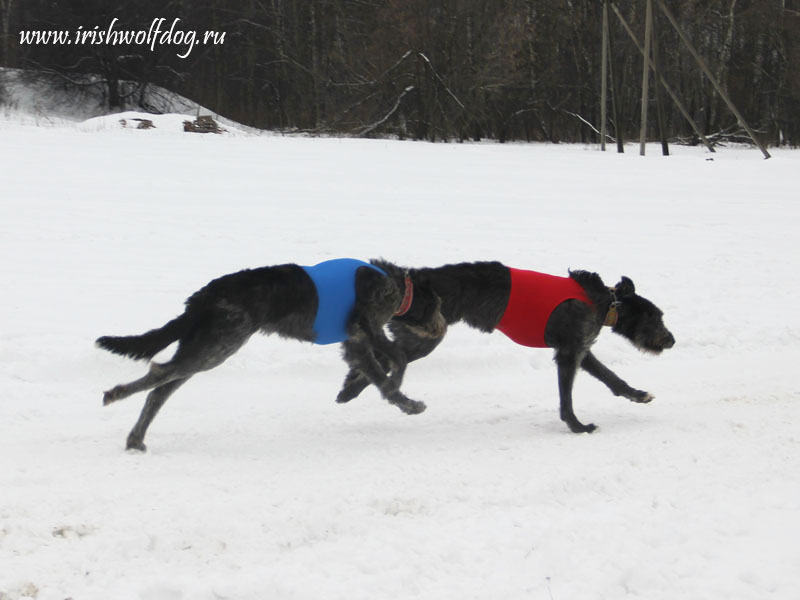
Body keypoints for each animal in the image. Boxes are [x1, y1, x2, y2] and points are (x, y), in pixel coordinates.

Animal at [98, 258, 444, 450]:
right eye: (438, 304)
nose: (441, 326)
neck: (398, 285)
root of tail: (202, 297)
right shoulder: (365, 323)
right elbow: (397, 359)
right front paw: (401, 392)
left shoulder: (355, 341)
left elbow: (373, 373)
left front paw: (389, 399)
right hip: (219, 344)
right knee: (159, 374)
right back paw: (115, 395)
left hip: (206, 344)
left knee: (160, 390)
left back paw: (135, 439)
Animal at [338, 260, 676, 434]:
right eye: (657, 317)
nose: (671, 340)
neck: (606, 302)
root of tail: (411, 277)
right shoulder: (569, 352)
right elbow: (567, 398)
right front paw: (577, 426)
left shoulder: (581, 348)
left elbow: (611, 378)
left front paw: (638, 394)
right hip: (427, 334)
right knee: (384, 360)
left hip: (417, 335)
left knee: (379, 359)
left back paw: (349, 387)